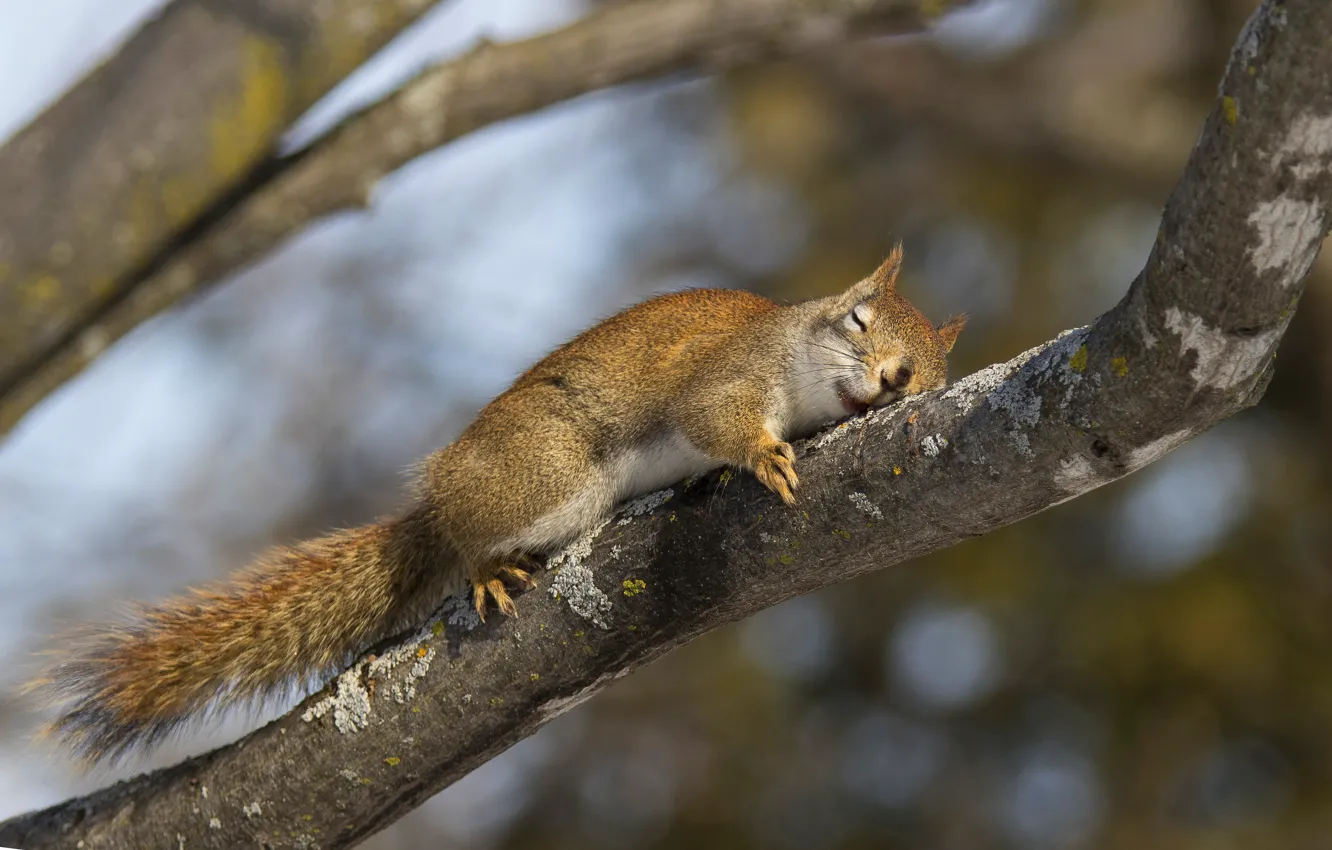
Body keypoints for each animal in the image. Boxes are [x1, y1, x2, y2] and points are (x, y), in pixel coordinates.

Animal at [28, 244, 964, 764]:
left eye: (931, 372)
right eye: (859, 319)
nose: (893, 380)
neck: (798, 376)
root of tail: (444, 493)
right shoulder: (724, 378)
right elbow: (718, 420)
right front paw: (765, 455)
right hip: (549, 475)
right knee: (469, 535)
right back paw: (484, 569)